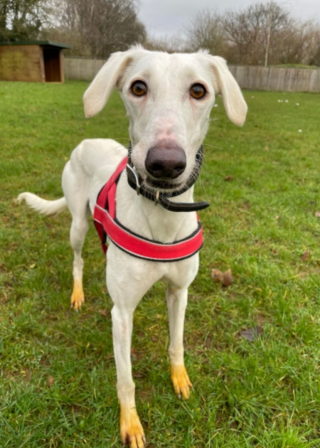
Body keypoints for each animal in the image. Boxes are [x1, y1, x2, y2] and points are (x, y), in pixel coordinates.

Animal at [18, 47, 248, 446]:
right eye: (138, 87)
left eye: (199, 90)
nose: (166, 164)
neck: (162, 214)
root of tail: (87, 142)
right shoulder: (122, 314)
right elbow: (126, 381)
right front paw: (131, 424)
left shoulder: (179, 292)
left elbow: (176, 343)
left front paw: (180, 380)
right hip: (78, 224)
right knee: (77, 260)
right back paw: (77, 293)